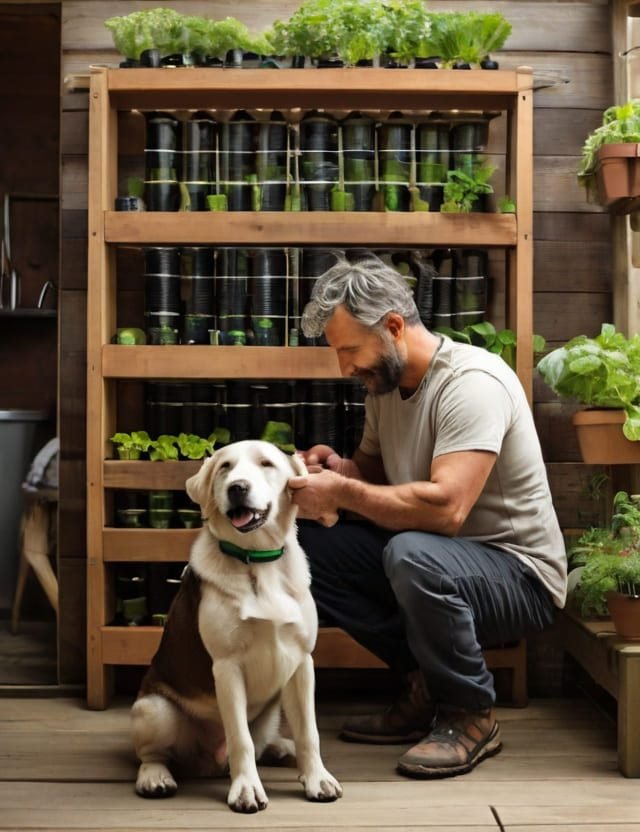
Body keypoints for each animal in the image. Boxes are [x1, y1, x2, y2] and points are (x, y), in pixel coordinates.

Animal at [131, 442, 344, 812]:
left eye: (267, 464)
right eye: (225, 467)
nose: (237, 488)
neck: (258, 560)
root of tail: (209, 762)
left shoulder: (302, 662)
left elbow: (309, 732)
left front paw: (317, 778)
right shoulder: (227, 667)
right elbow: (239, 738)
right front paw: (246, 788)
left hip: (273, 709)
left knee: (265, 742)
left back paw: (281, 747)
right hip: (153, 709)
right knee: (155, 754)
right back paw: (155, 777)